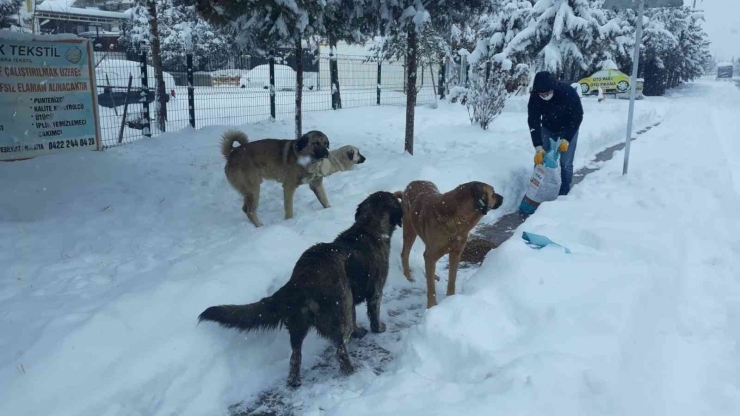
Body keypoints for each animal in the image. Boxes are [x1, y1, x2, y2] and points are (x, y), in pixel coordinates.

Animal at [199, 191, 402, 386]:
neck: (368, 227)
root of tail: (301, 280)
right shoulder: (375, 291)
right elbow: (372, 314)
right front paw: (378, 328)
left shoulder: (350, 300)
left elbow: (354, 319)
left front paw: (359, 332)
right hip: (334, 315)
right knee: (340, 350)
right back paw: (352, 372)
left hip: (299, 324)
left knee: (295, 357)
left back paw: (294, 381)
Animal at [394, 180, 502, 308]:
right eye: (493, 194)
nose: (502, 198)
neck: (459, 217)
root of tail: (408, 187)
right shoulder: (431, 254)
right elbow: (431, 288)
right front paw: (432, 306)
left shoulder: (456, 253)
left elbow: (452, 279)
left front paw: (451, 299)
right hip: (410, 230)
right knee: (405, 253)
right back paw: (408, 276)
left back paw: (433, 275)